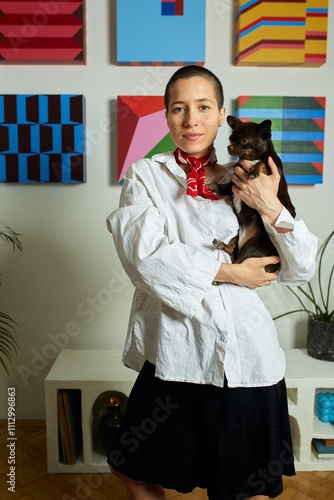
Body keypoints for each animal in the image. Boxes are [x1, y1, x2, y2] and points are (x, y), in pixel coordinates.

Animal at [211, 114, 294, 272]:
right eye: (230, 139)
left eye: (243, 141)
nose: (229, 147)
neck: (250, 160)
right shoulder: (233, 183)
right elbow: (223, 187)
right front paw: (212, 186)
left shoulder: (273, 170)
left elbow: (264, 162)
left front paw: (255, 169)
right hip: (237, 235)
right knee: (232, 249)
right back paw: (222, 245)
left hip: (252, 247)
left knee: (239, 265)